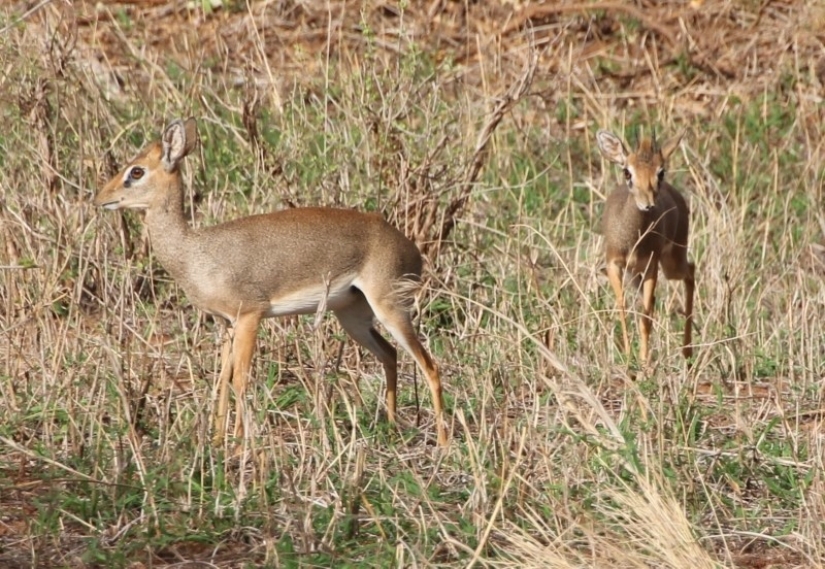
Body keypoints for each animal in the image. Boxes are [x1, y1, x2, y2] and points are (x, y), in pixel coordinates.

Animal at [95, 118, 447, 446]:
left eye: (136, 171)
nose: (101, 198)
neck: (195, 252)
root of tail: (410, 248)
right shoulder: (227, 324)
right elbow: (223, 378)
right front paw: (218, 442)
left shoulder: (251, 315)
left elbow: (241, 378)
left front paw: (239, 447)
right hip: (353, 317)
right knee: (390, 355)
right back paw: (391, 425)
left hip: (389, 309)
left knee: (430, 365)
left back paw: (443, 443)